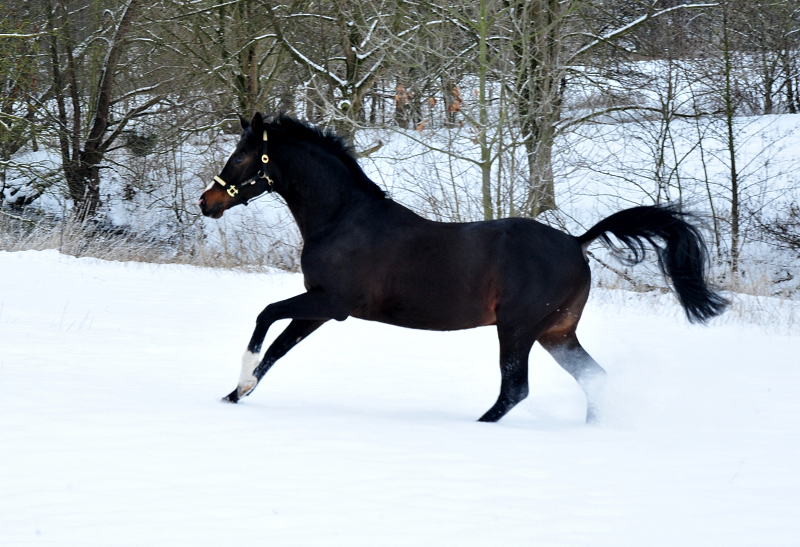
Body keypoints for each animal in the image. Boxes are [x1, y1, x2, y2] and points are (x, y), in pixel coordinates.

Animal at [197, 113, 728, 426]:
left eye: (242, 155)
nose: (208, 202)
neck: (342, 219)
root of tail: (577, 243)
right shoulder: (322, 308)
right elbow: (278, 349)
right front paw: (236, 393)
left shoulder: (332, 302)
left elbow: (266, 317)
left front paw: (239, 382)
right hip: (556, 332)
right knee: (592, 378)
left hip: (517, 329)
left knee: (516, 389)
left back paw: (480, 427)